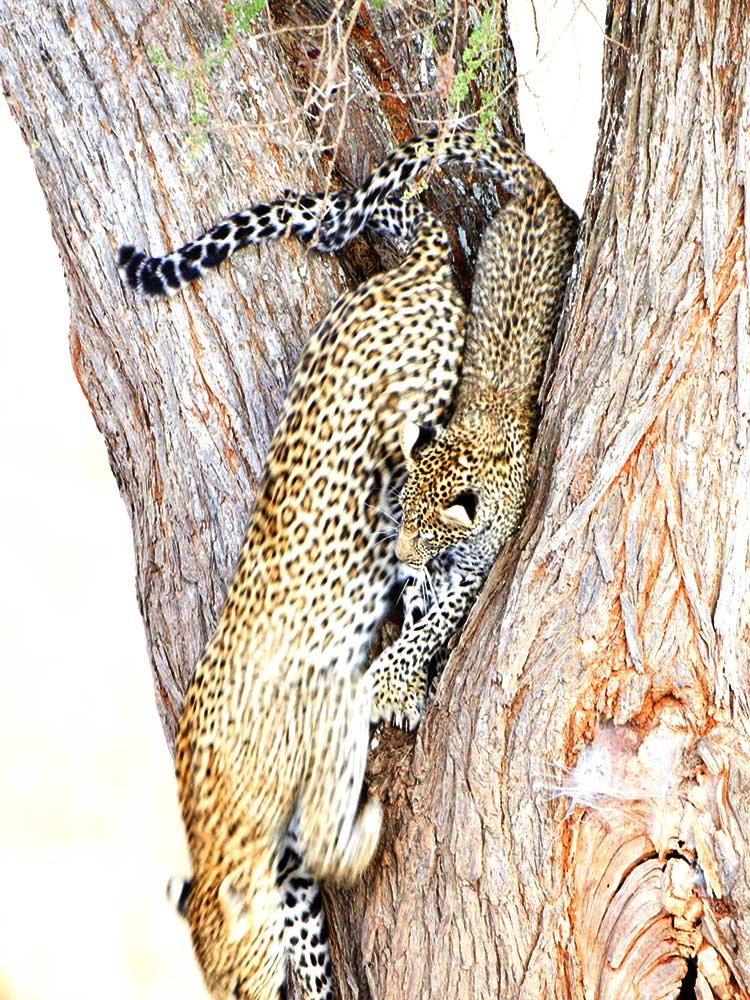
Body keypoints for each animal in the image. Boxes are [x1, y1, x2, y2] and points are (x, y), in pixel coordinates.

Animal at [118, 127, 552, 1000]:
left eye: (240, 985)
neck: (217, 825)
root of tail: (405, 273)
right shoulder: (285, 872)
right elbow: (309, 921)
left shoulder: (322, 719)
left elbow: (327, 828)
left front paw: (368, 824)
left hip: (428, 397)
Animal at [367, 140, 580, 730]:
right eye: (403, 516)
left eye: (429, 531)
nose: (402, 555)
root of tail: (539, 192)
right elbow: (419, 611)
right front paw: (406, 684)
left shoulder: (472, 573)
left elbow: (432, 625)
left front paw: (393, 680)